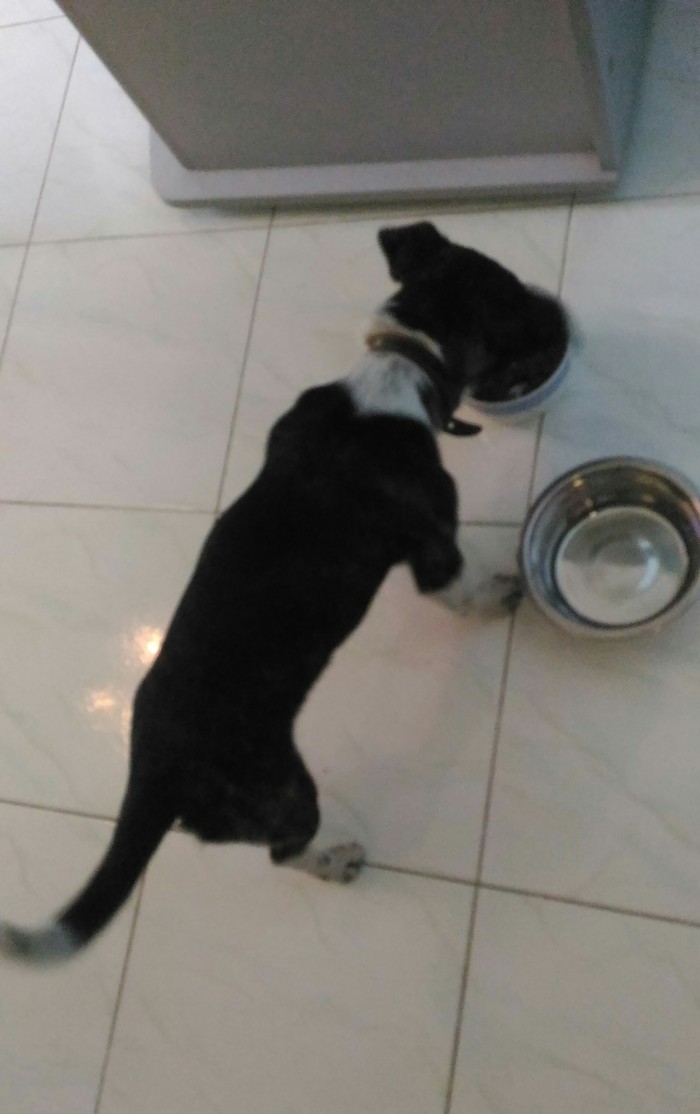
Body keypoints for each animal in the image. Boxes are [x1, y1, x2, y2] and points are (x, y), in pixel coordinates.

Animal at [0, 220, 559, 964]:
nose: (556, 315)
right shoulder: (434, 547)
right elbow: (463, 587)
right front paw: (499, 595)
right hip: (283, 790)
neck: (400, 367)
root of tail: (151, 775)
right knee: (284, 851)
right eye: (513, 293)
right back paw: (337, 860)